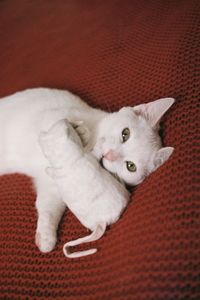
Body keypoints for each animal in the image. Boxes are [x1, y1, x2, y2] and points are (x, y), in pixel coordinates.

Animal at [39, 119, 130, 258]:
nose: (65, 119)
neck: (66, 160)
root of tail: (101, 222)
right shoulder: (91, 155)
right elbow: (97, 150)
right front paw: (101, 141)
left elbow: (50, 170)